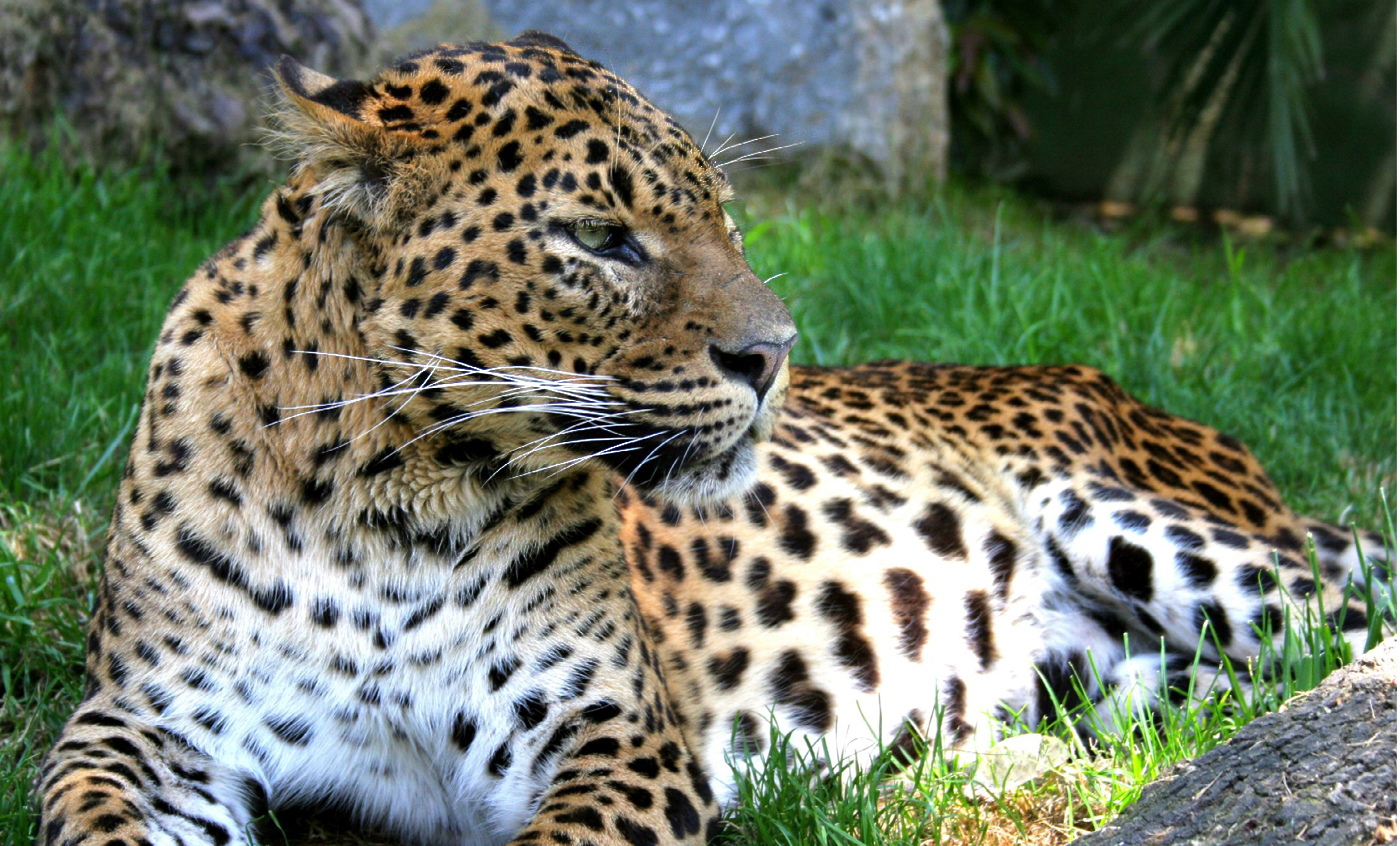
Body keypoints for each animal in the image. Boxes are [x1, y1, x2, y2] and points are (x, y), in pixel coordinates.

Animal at [32, 28, 1388, 846]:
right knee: (1175, 706)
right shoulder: (149, 721)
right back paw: (982, 767)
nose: (773, 352)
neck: (386, 494)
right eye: (598, 239)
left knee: (1336, 633)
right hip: (1103, 672)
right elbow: (80, 807)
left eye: (722, 220)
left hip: (1155, 530)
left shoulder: (609, 728)